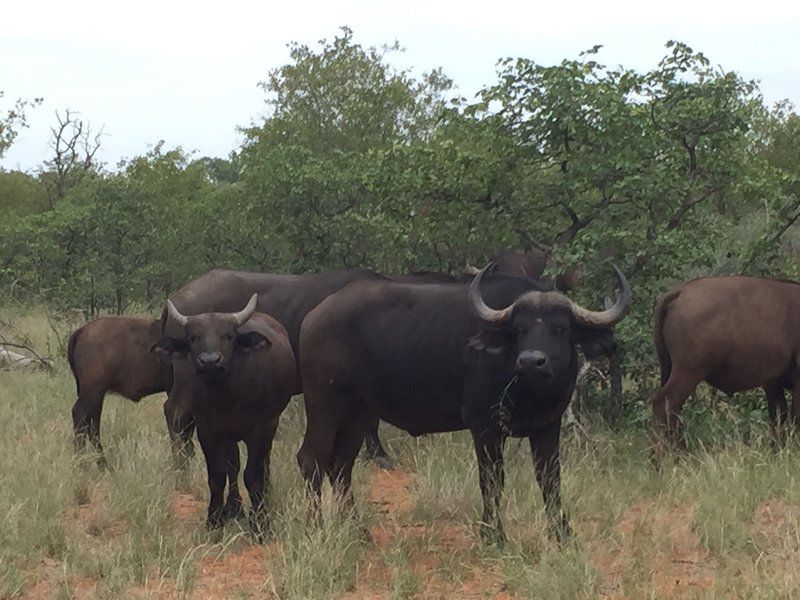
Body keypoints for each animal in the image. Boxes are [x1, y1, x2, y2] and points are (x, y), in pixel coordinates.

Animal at [68, 316, 170, 466]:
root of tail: (82, 330)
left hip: (96, 395)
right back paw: (83, 462)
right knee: (80, 415)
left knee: (93, 422)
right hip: (92, 392)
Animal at [152, 296, 294, 536]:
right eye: (193, 337)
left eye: (228, 336)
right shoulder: (209, 430)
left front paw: (260, 523)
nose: (210, 361)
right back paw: (234, 507)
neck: (228, 397)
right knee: (233, 465)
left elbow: (253, 476)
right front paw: (214, 519)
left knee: (264, 463)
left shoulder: (261, 429)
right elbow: (218, 475)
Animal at [296, 262, 628, 544]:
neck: (528, 389)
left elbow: (550, 479)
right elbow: (492, 480)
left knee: (340, 465)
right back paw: (317, 529)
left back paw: (356, 530)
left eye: (561, 328)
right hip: (324, 406)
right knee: (311, 459)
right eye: (520, 329)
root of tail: (314, 317)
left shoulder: (548, 426)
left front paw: (563, 534)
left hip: (358, 414)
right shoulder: (484, 426)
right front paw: (493, 535)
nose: (532, 361)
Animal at [652, 276, 800, 460]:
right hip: (688, 372)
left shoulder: (772, 383)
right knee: (664, 403)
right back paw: (669, 458)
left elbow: (779, 416)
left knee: (672, 410)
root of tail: (682, 291)